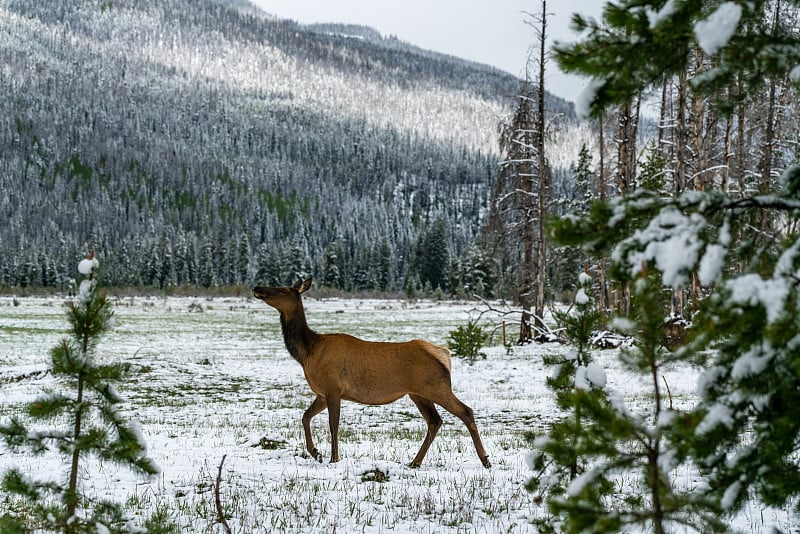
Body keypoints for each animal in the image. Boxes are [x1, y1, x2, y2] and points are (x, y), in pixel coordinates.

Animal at [256, 278, 490, 472]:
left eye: (283, 289)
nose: (258, 288)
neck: (307, 352)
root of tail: (444, 354)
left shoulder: (333, 388)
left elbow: (333, 425)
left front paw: (333, 459)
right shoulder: (322, 393)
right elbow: (305, 417)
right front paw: (315, 453)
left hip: (436, 386)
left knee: (465, 411)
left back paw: (485, 459)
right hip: (418, 393)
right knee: (435, 421)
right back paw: (415, 462)